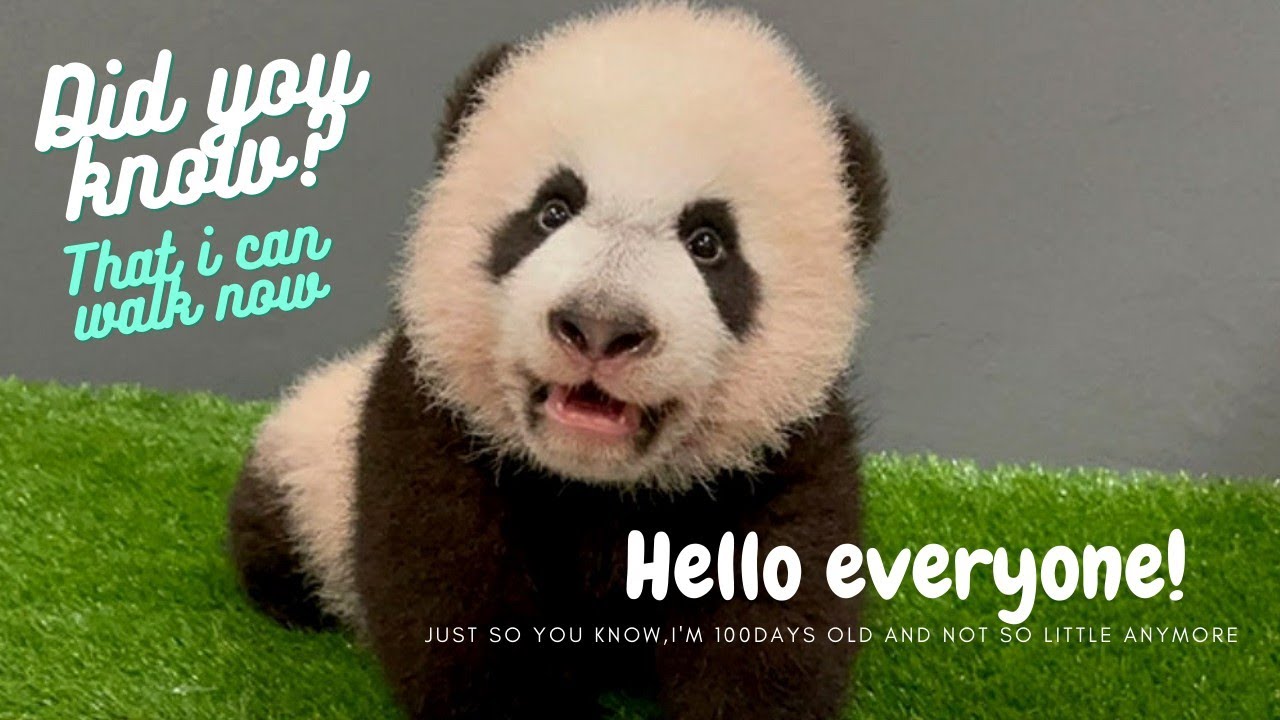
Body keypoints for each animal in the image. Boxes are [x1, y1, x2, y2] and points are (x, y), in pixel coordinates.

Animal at [227, 4, 887, 719]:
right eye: (551, 211)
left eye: (709, 243)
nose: (600, 326)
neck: (596, 483)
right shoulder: (433, 419)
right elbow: (462, 610)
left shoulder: (781, 454)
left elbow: (771, 624)